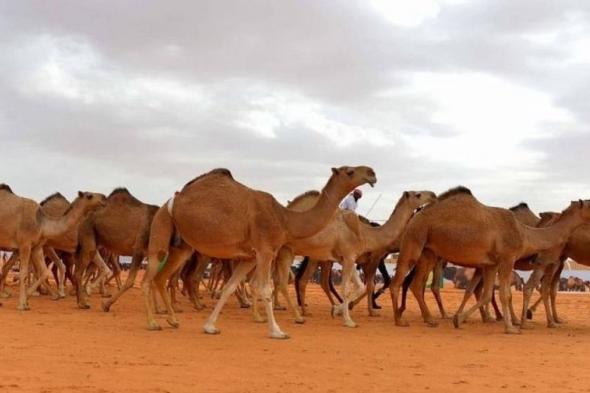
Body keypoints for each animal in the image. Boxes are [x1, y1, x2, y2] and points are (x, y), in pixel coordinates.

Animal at [141, 165, 376, 336]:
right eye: (349, 171)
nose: (372, 173)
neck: (285, 219)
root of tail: (174, 198)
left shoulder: (250, 257)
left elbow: (229, 287)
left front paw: (210, 326)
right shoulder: (266, 250)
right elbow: (264, 289)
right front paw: (277, 331)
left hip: (182, 246)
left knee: (160, 277)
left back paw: (172, 320)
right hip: (161, 228)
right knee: (149, 276)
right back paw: (152, 322)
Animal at [270, 188, 438, 326]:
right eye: (418, 194)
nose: (433, 195)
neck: (367, 234)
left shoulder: (350, 258)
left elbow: (362, 286)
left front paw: (340, 309)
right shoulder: (362, 258)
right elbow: (357, 286)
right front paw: (350, 317)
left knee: (294, 280)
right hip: (305, 254)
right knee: (295, 279)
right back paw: (295, 312)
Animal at [390, 185, 590, 332]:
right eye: (589, 204)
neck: (524, 233)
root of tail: (415, 216)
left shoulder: (492, 264)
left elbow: (486, 294)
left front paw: (459, 319)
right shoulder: (508, 258)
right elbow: (505, 294)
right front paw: (511, 328)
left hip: (429, 252)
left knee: (416, 284)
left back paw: (430, 319)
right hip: (414, 239)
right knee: (398, 280)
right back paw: (399, 320)